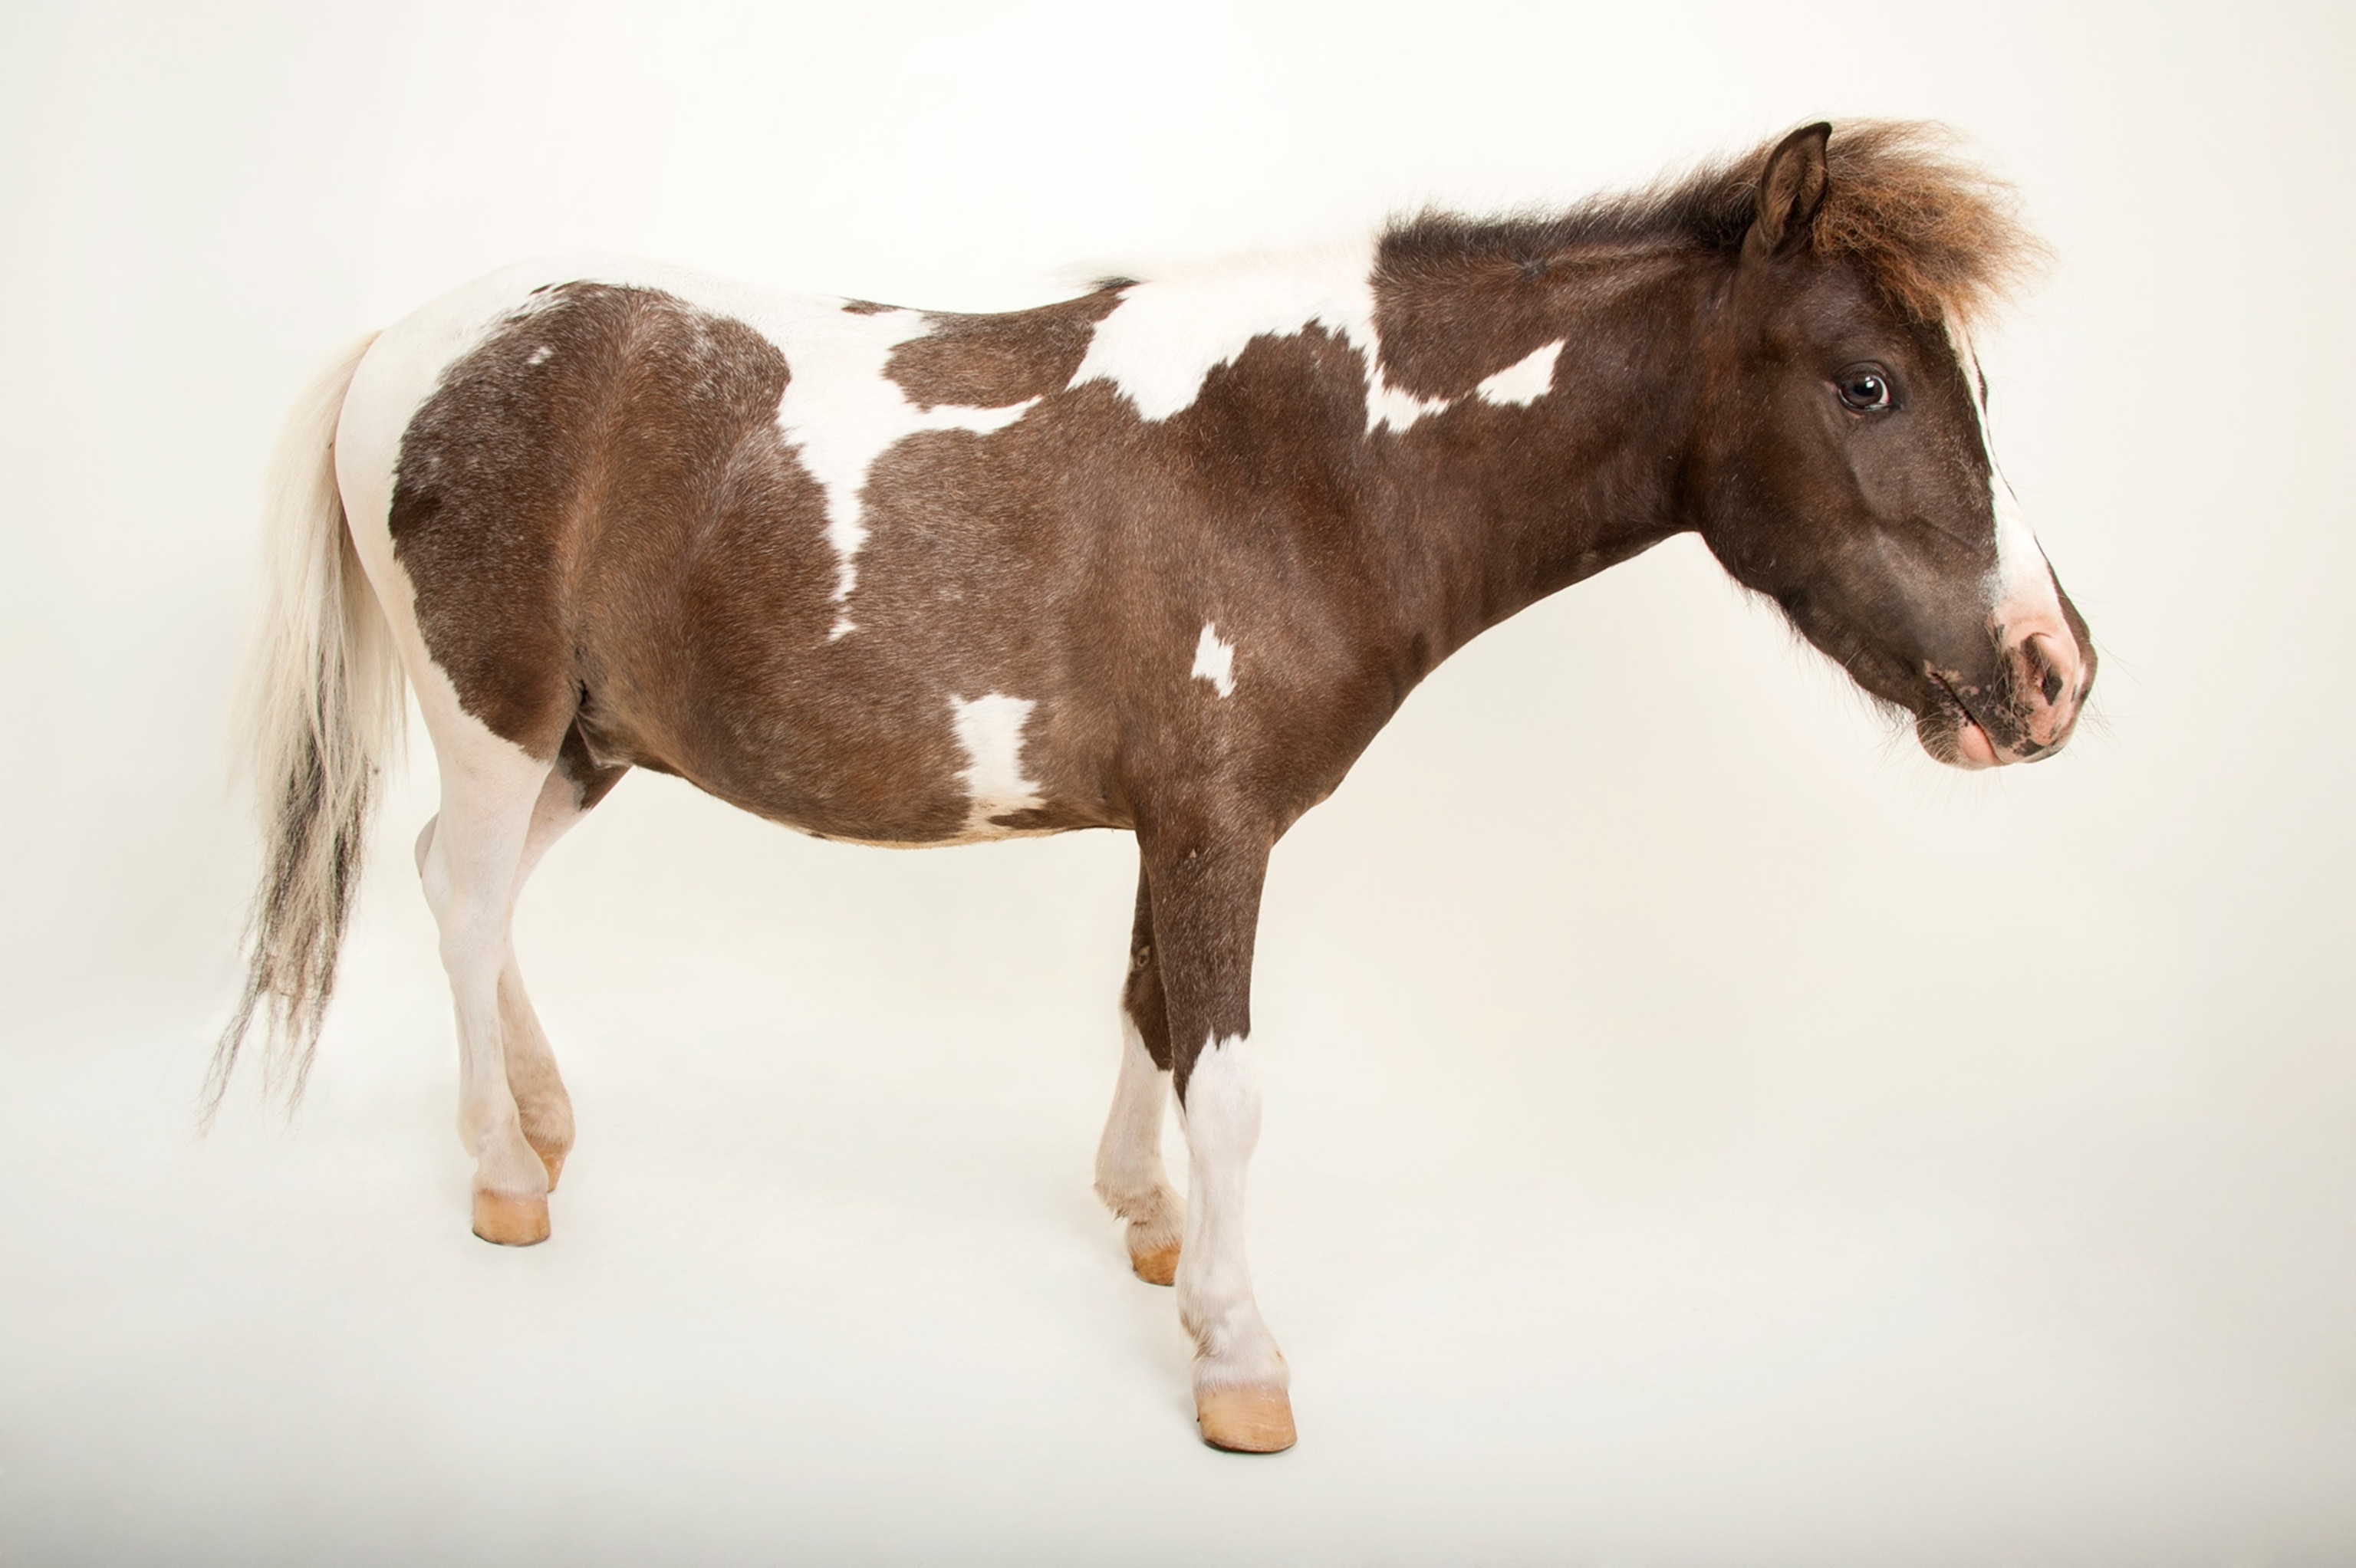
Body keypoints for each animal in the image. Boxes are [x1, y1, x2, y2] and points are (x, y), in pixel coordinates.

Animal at [214, 121, 2093, 1453]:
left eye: (1969, 381)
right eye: (1867, 383)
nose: (2051, 670)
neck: (1311, 461)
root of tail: (407, 343)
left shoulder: (1178, 821)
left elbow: (1144, 1010)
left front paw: (1152, 1233)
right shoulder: (1220, 829)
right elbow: (1230, 1079)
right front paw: (1240, 1350)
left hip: (588, 744)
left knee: (457, 881)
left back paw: (540, 1115)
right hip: (500, 713)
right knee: (463, 900)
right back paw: (505, 1177)